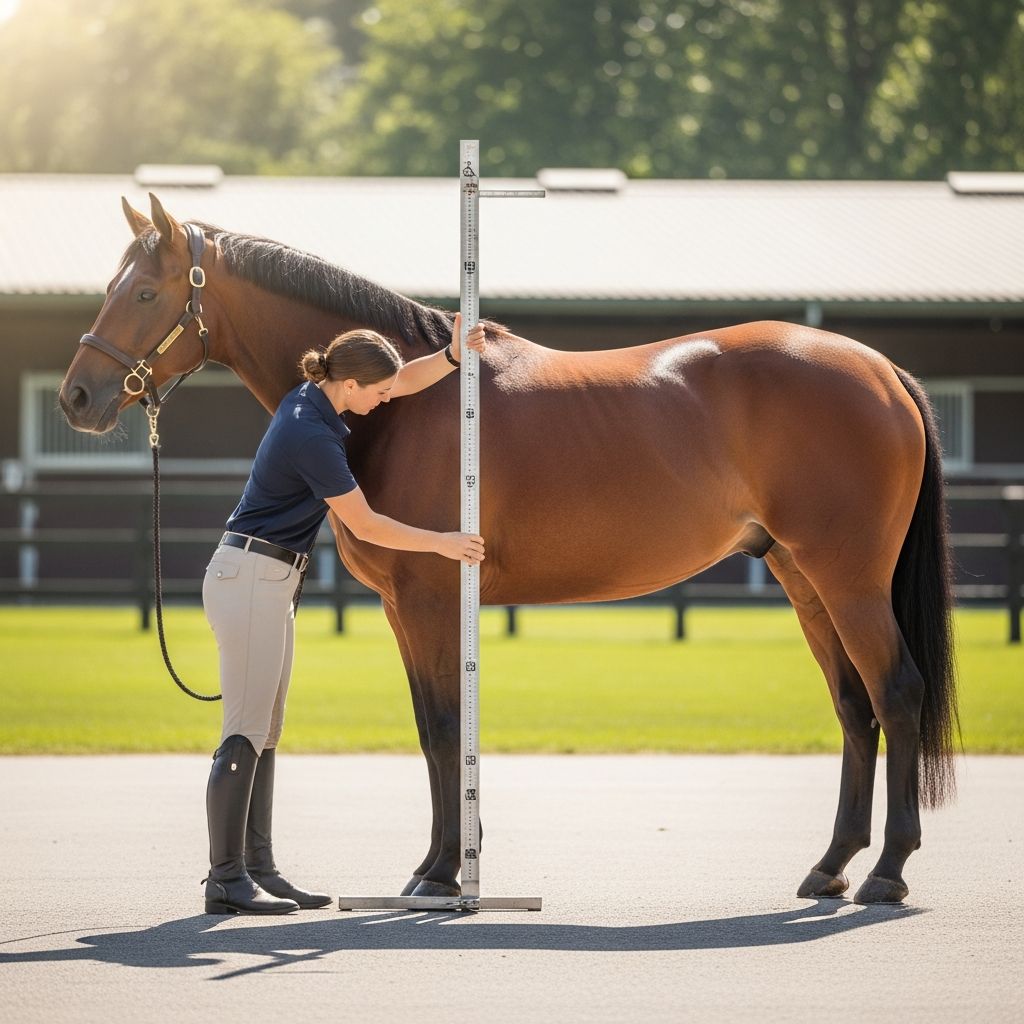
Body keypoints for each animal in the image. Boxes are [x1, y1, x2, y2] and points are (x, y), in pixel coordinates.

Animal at [59, 194, 958, 906]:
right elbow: (435, 726)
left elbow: (441, 728)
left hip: (849, 581)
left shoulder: (428, 599)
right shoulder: (405, 607)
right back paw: (831, 866)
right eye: (110, 287)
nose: (77, 397)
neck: (403, 411)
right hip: (803, 579)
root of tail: (883, 371)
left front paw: (441, 873)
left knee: (897, 693)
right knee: (854, 708)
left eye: (145, 290)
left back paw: (887, 873)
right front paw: (445, 864)